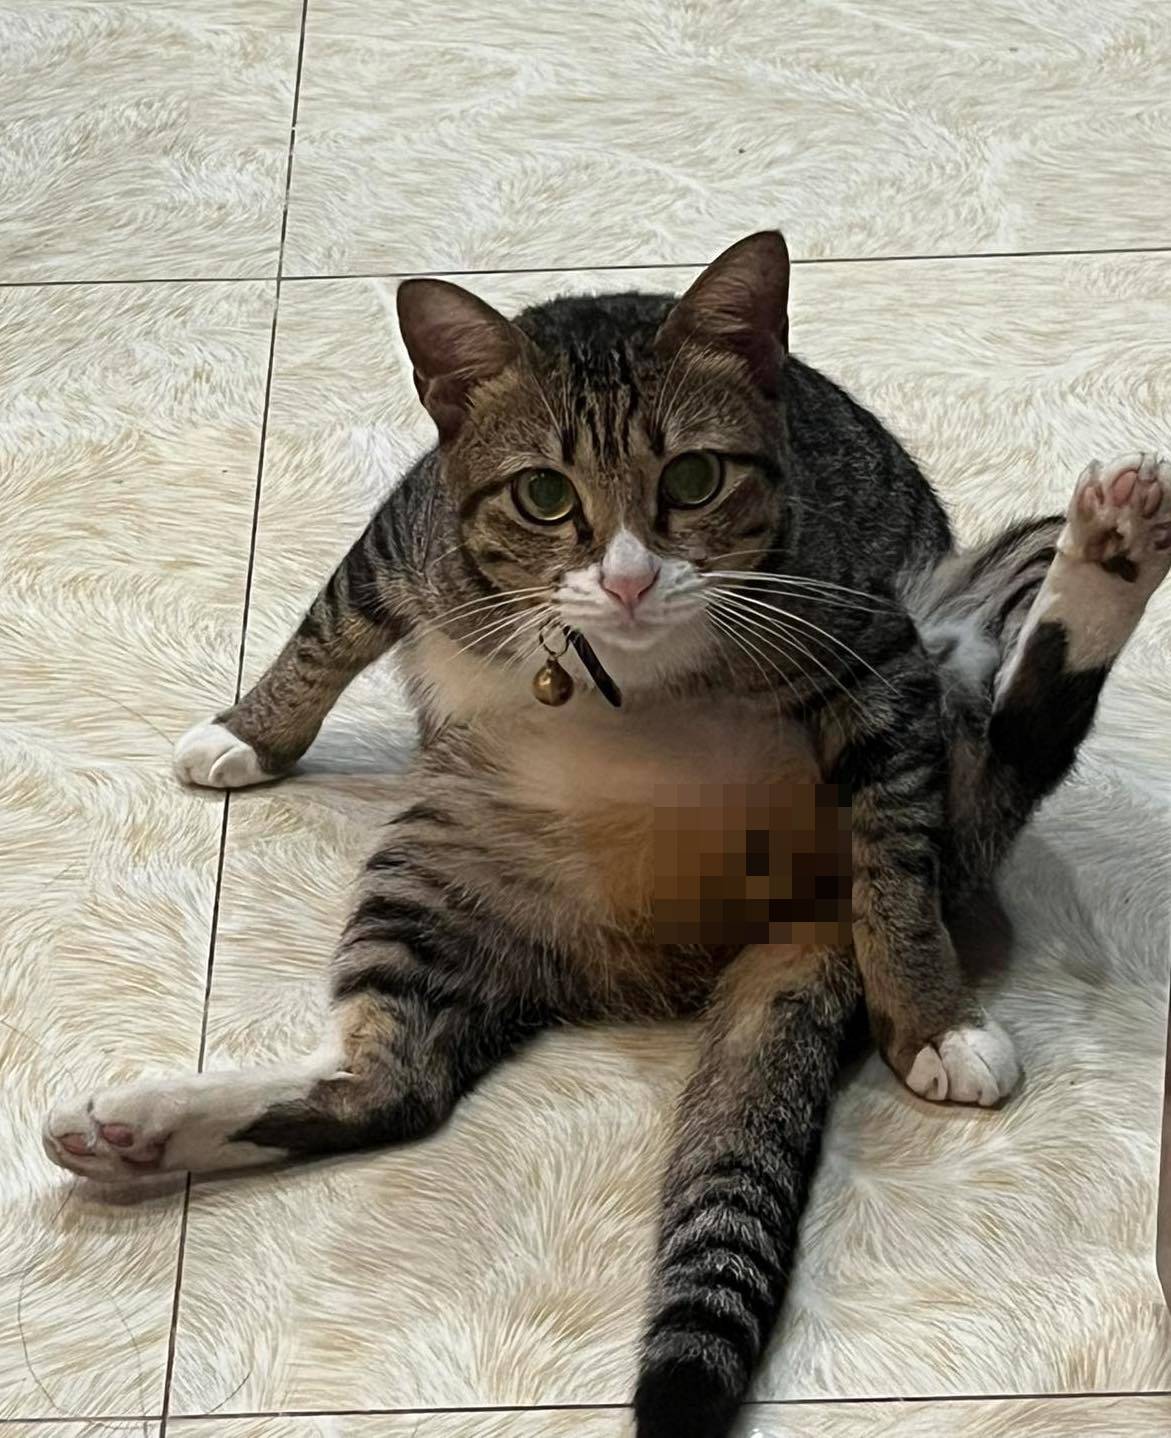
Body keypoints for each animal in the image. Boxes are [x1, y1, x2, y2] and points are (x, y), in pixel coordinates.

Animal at [44, 231, 1171, 1438]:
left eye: (693, 478)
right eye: (543, 493)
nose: (628, 578)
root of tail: (767, 914)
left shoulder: (879, 662)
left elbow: (899, 871)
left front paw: (930, 1020)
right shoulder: (400, 538)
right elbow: (322, 634)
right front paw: (249, 735)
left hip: (969, 617)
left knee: (1005, 754)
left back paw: (1110, 552)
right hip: (435, 866)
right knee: (394, 1085)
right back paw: (139, 1130)